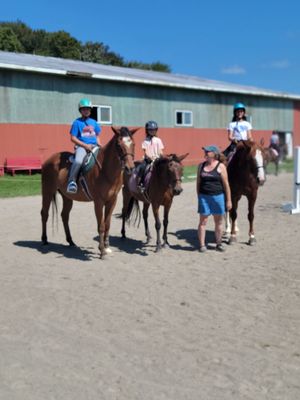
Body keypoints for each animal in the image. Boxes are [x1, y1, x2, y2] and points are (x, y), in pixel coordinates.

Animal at [41, 126, 137, 260]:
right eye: (118, 145)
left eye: (133, 143)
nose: (130, 168)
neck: (105, 170)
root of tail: (49, 159)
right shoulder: (98, 202)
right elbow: (101, 226)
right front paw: (102, 251)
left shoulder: (112, 200)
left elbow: (107, 224)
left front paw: (107, 247)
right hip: (47, 191)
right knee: (44, 214)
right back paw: (44, 240)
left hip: (67, 196)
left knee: (64, 216)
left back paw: (70, 241)